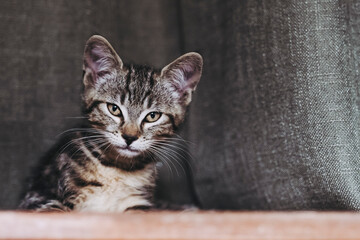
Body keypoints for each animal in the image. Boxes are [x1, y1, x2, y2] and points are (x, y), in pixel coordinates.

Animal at [19, 35, 202, 212]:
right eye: (114, 109)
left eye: (152, 116)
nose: (129, 137)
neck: (117, 168)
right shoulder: (37, 198)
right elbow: (54, 210)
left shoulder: (141, 204)